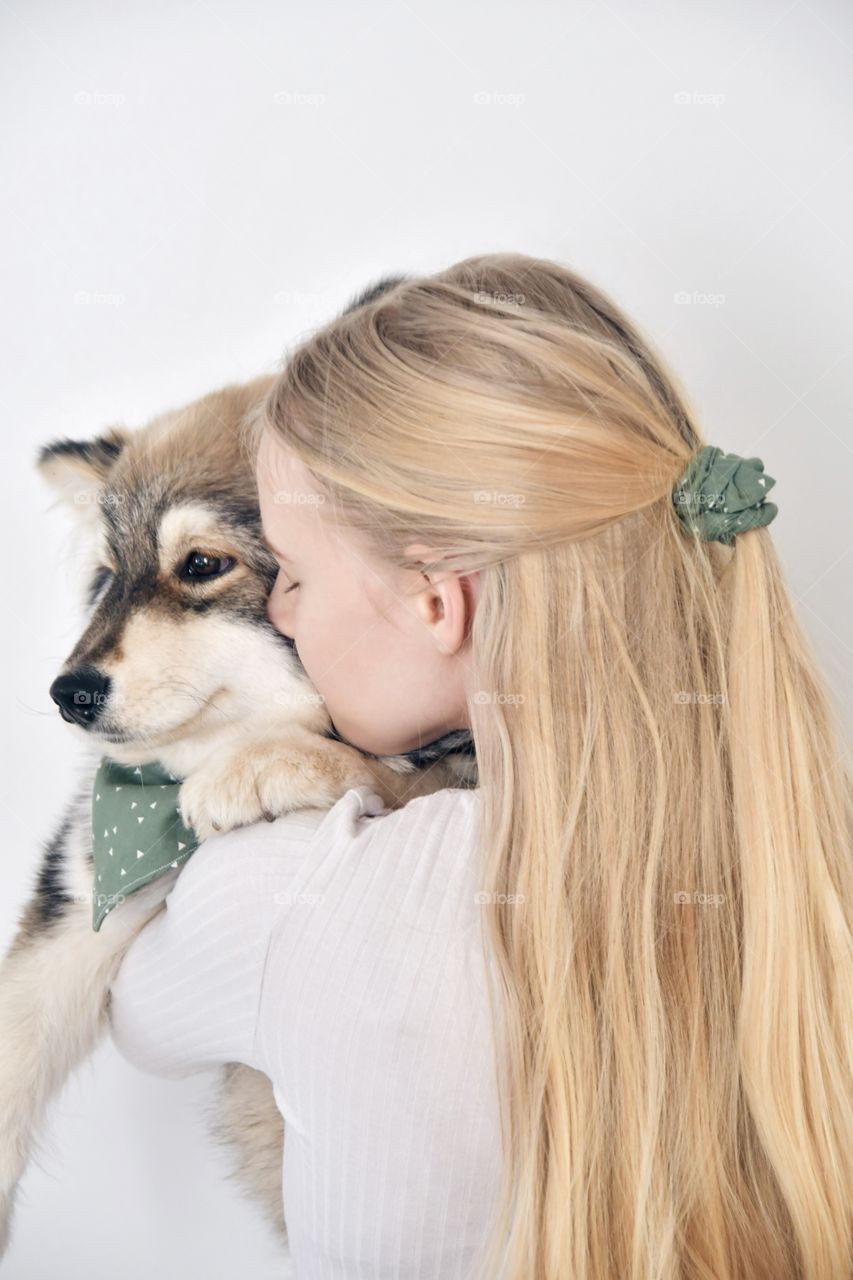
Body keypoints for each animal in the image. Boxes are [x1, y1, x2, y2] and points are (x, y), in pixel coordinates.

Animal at [0, 285, 479, 1254]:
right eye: (105, 578)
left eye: (202, 565)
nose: (69, 691)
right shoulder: (81, 897)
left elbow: (410, 772)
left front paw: (271, 764)